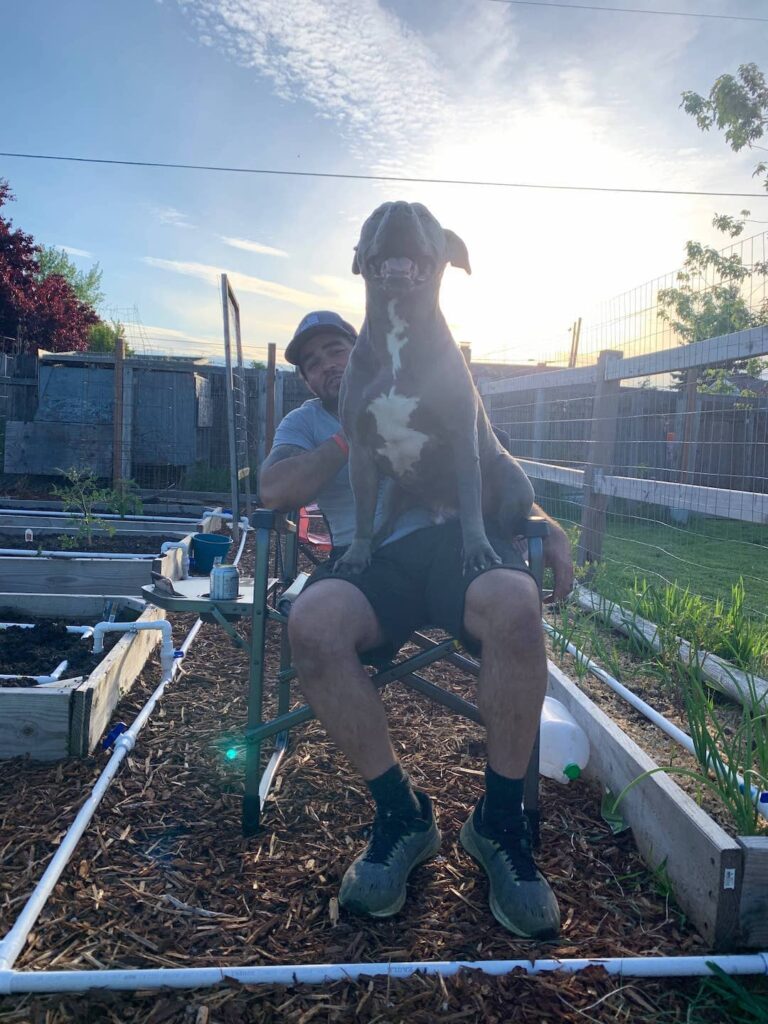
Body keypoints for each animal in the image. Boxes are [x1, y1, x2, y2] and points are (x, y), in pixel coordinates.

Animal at [335, 199, 536, 577]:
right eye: (376, 214)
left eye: (424, 214)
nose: (399, 209)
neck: (398, 331)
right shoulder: (360, 451)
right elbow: (362, 512)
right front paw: (356, 554)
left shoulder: (462, 440)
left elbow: (471, 504)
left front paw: (478, 551)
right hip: (394, 487)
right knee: (386, 518)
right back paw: (378, 538)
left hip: (515, 480)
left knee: (500, 523)